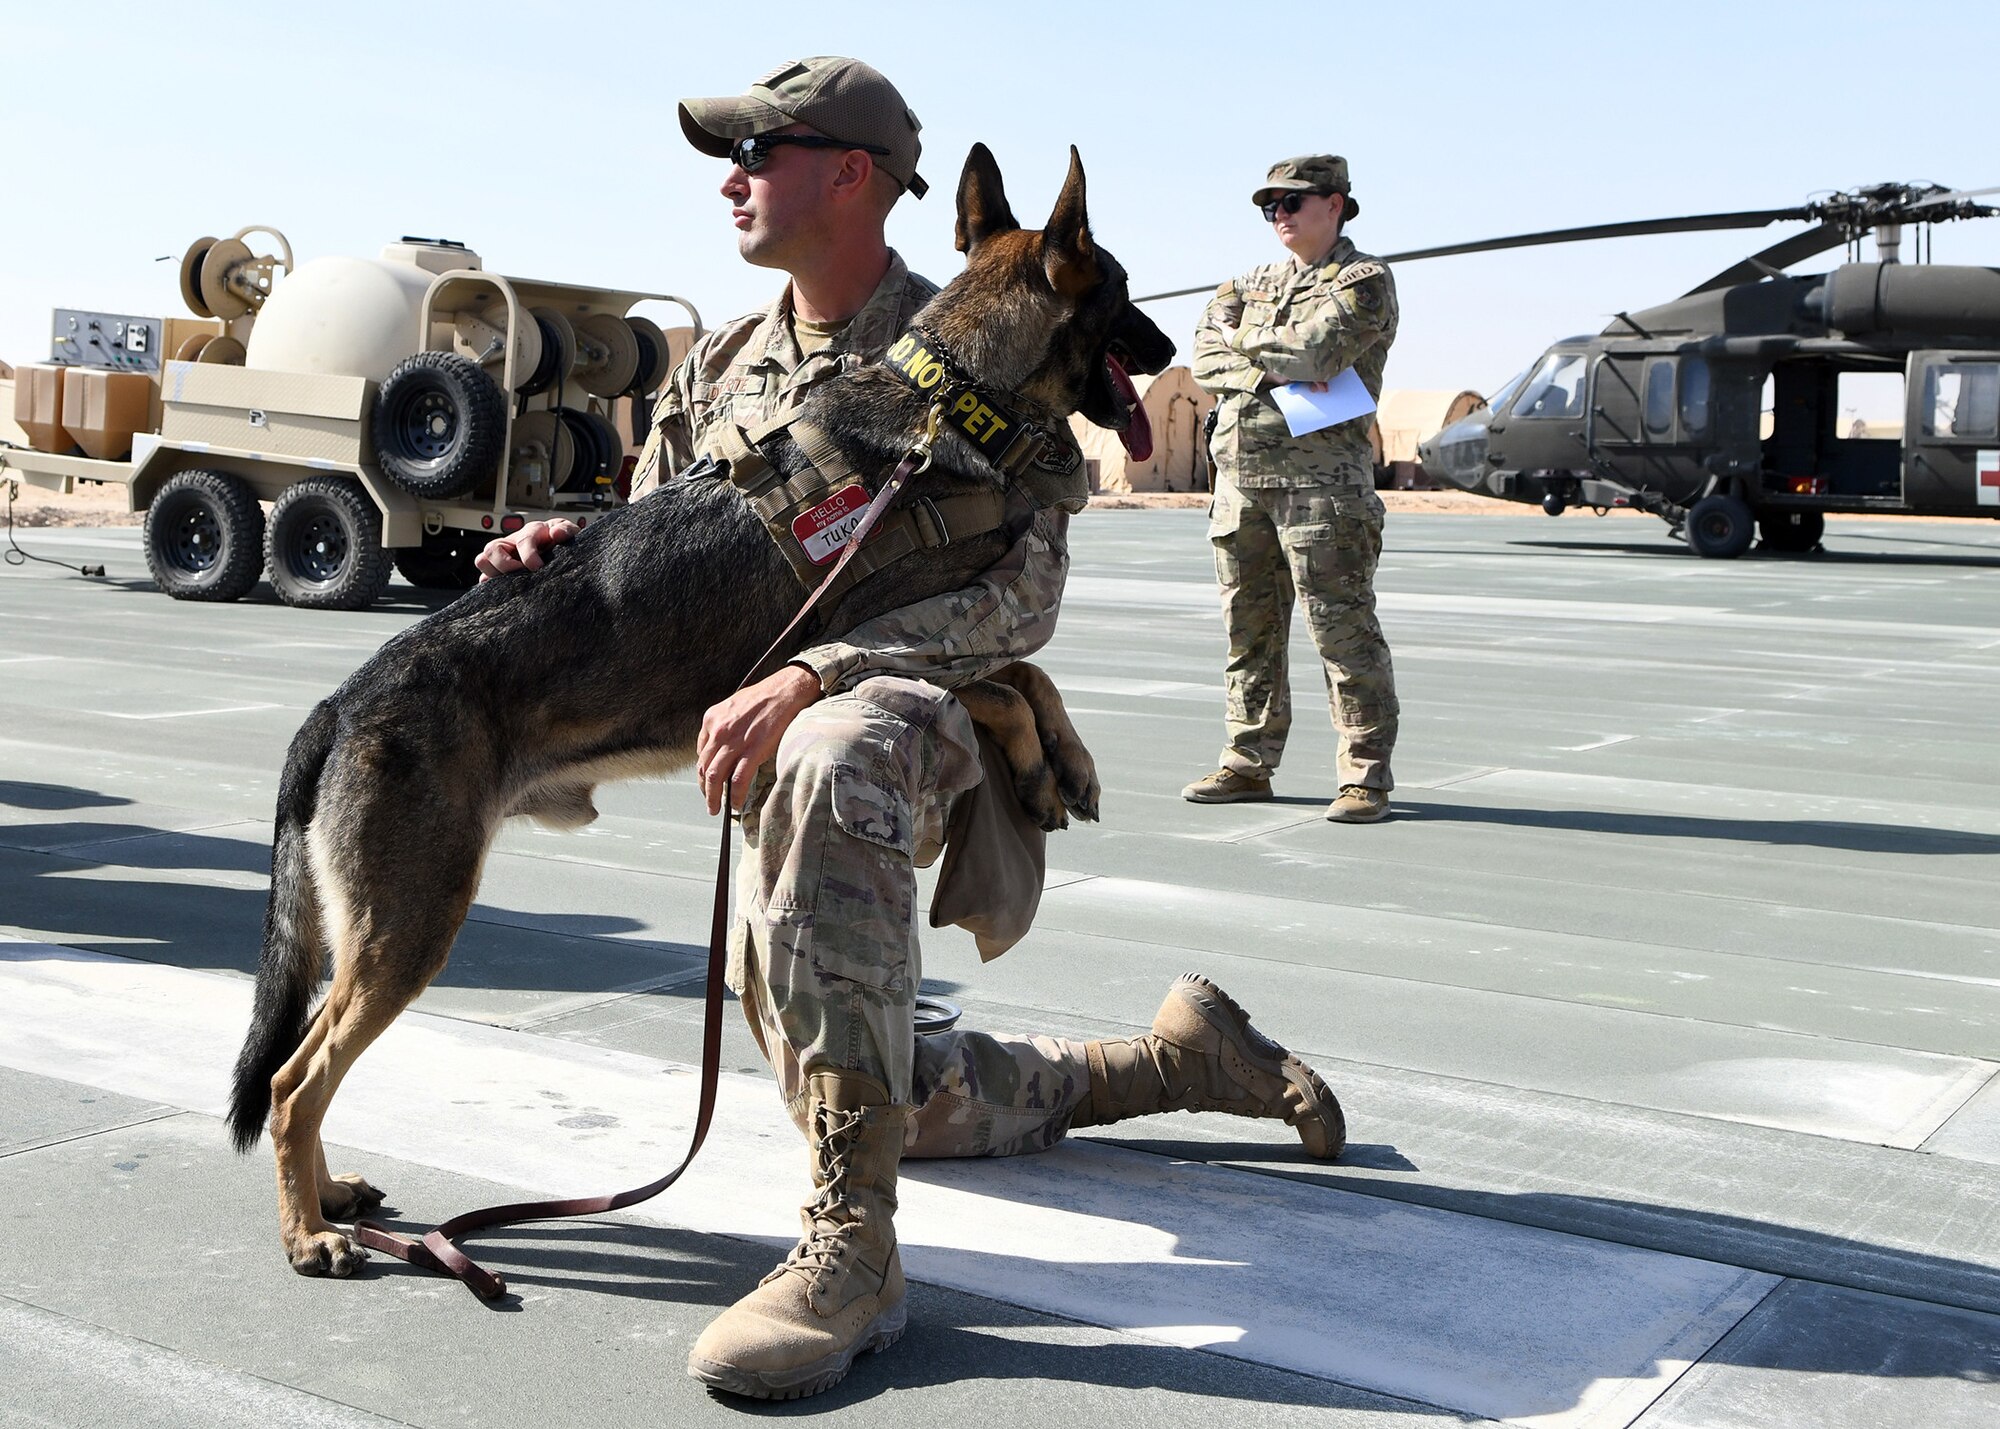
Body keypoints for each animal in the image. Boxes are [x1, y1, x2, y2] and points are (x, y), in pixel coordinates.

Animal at [229, 145, 1176, 1272]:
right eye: (1125, 293)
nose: (1172, 347)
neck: (948, 398)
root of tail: (337, 703)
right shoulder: (873, 632)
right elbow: (994, 681)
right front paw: (1042, 762)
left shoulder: (953, 617)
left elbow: (1023, 672)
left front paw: (1065, 758)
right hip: (411, 925)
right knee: (294, 1079)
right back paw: (306, 1231)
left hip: (373, 931)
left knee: (303, 1065)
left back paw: (331, 1196)